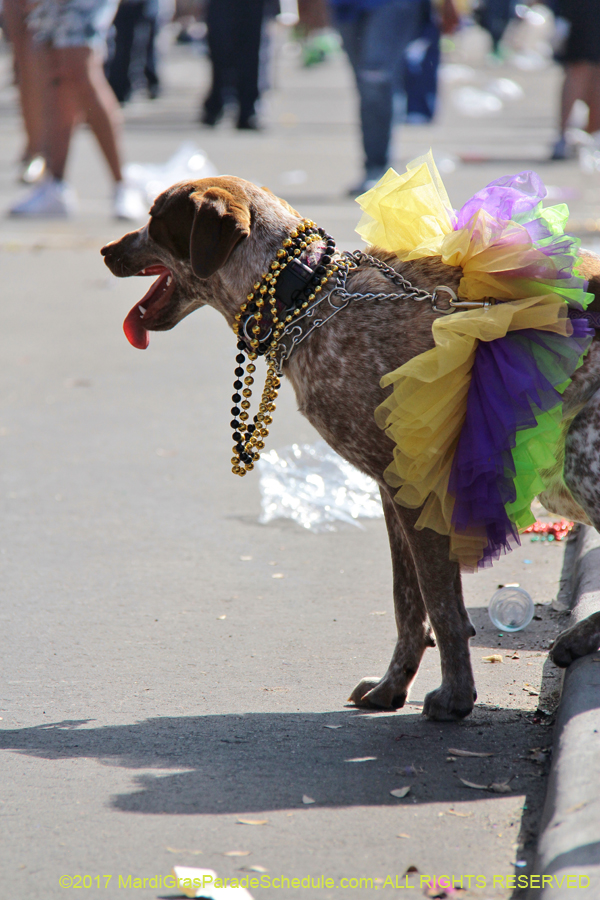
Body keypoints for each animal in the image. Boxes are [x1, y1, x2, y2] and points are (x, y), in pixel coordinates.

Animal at [101, 178, 600, 724]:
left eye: (157, 219)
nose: (106, 251)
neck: (309, 294)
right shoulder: (395, 488)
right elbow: (410, 606)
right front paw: (392, 687)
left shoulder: (417, 488)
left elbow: (440, 609)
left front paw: (454, 697)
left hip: (579, 455)